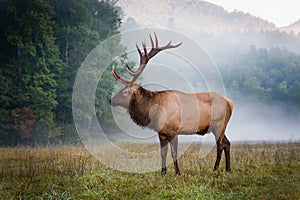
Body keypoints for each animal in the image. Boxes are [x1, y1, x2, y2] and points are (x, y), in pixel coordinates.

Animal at [109, 33, 233, 175]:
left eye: (125, 92)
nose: (111, 100)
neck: (155, 111)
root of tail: (230, 102)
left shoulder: (174, 130)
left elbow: (174, 153)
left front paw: (177, 172)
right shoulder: (161, 133)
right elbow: (163, 153)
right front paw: (163, 172)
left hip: (218, 124)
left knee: (220, 145)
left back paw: (215, 168)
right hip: (219, 126)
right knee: (227, 143)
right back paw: (228, 169)